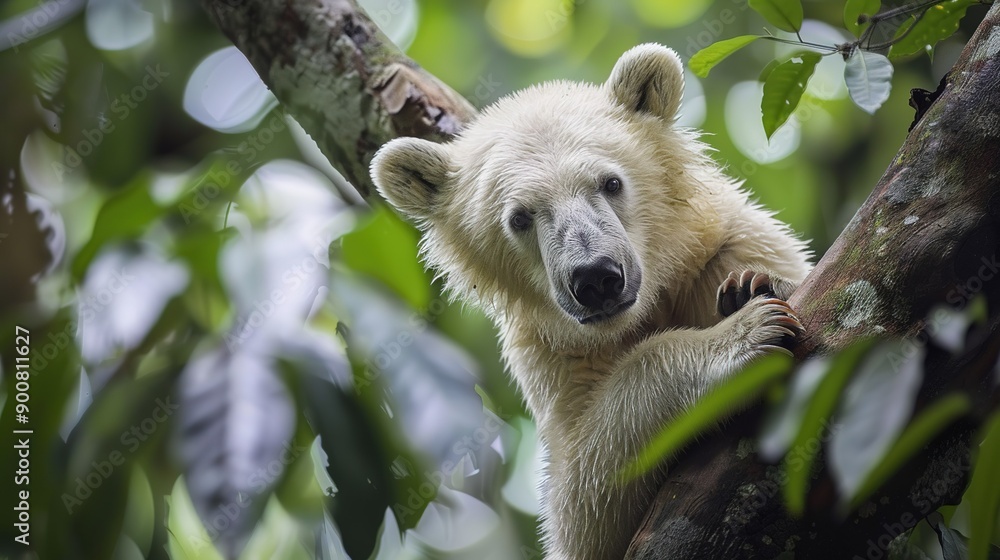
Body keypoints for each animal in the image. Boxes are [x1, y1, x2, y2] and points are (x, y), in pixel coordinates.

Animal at [370, 44, 813, 560]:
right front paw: (746, 337)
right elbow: (584, 497)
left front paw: (755, 286)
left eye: (610, 183)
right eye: (520, 217)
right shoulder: (553, 353)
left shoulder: (723, 251)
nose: (596, 278)